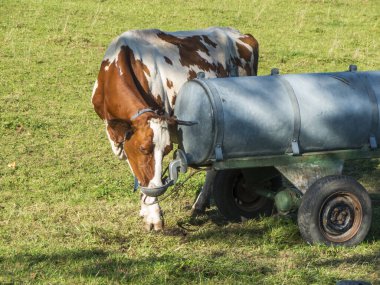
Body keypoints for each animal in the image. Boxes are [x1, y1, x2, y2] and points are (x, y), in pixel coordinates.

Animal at [91, 27, 258, 231]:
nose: (158, 189)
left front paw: (153, 215)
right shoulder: (120, 137)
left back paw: (200, 203)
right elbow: (138, 172)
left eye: (167, 151)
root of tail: (240, 34)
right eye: (143, 149)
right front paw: (145, 209)